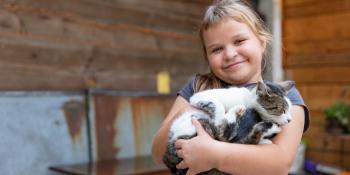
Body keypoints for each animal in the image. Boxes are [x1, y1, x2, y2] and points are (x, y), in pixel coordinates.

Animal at [163, 80, 294, 175]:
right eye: (282, 110)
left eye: (289, 110)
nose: (290, 120)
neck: (248, 101)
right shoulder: (199, 96)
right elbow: (218, 107)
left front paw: (265, 139)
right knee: (222, 132)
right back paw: (237, 110)